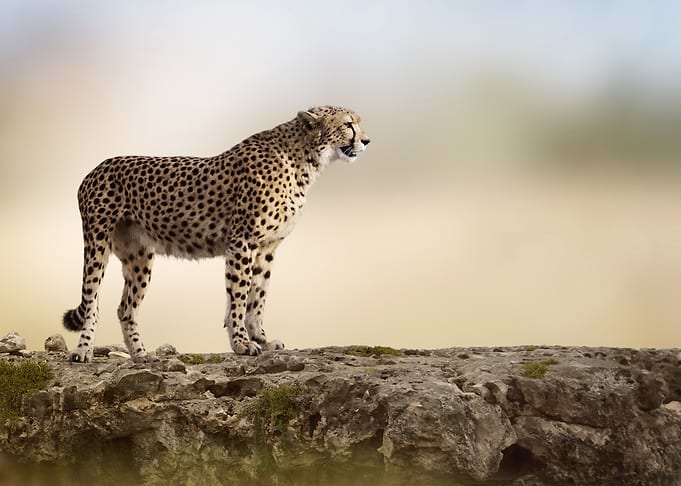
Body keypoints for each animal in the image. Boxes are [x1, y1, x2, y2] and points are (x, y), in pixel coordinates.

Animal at [62, 106, 370, 362]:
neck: (305, 159)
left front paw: (261, 339)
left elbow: (258, 297)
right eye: (348, 124)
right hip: (97, 244)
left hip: (139, 257)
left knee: (125, 308)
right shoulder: (242, 243)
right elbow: (239, 297)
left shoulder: (266, 248)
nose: (367, 141)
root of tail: (95, 168)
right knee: (91, 302)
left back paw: (141, 355)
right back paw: (84, 351)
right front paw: (241, 343)